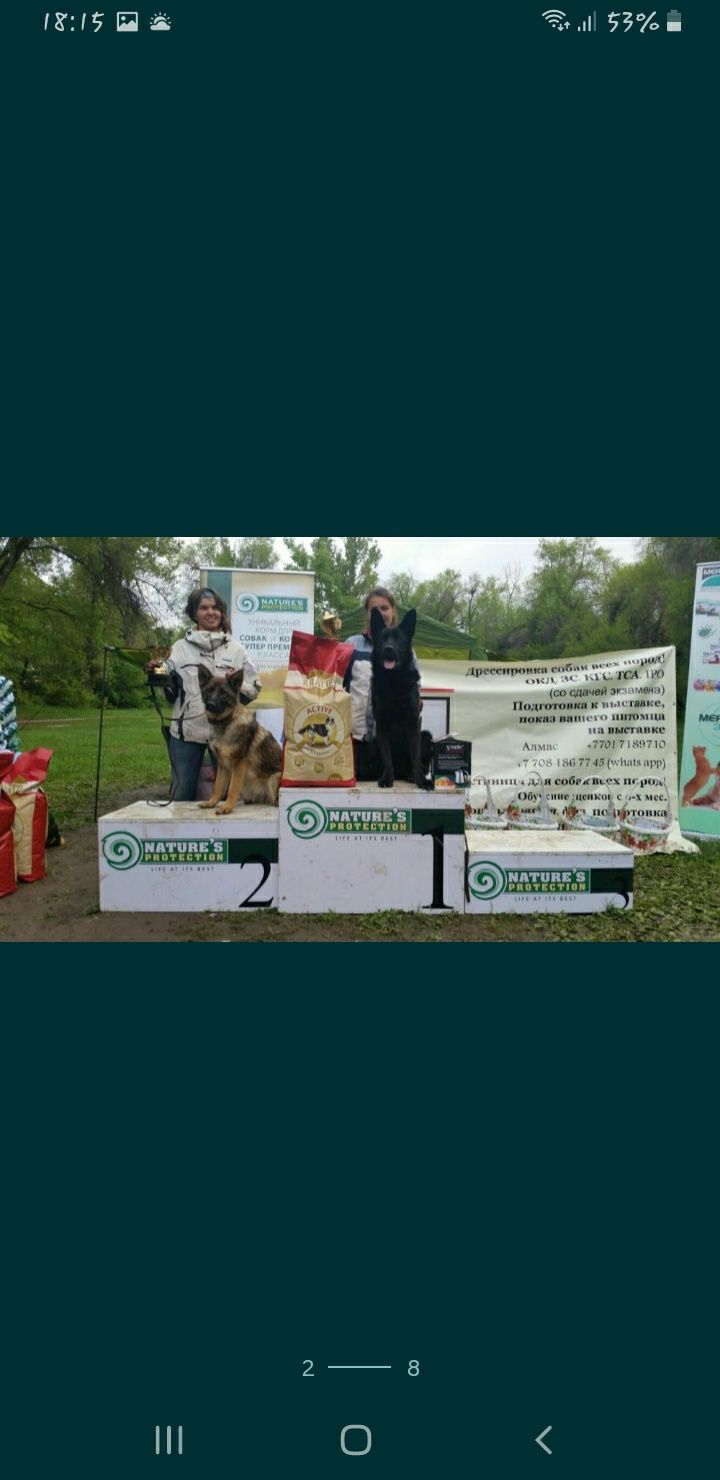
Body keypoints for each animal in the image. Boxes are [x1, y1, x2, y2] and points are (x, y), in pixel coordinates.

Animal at [371, 606, 432, 793]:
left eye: (399, 640)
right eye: (382, 639)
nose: (389, 648)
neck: (394, 681)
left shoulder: (413, 723)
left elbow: (415, 757)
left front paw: (421, 781)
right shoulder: (381, 725)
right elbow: (387, 759)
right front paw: (386, 778)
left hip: (425, 735)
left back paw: (413, 775)